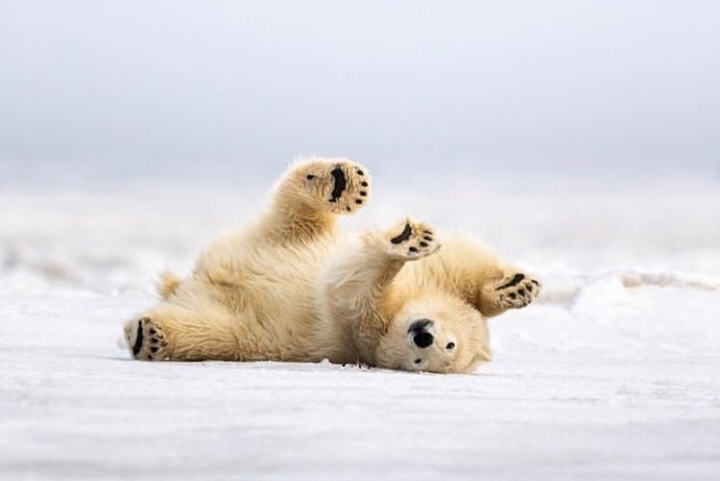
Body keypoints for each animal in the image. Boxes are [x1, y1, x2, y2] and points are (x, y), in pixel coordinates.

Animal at [123, 158, 540, 373]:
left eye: (439, 354)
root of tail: (192, 279)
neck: (409, 303)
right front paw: (515, 287)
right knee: (298, 210)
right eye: (449, 342)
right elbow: (464, 258)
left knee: (206, 331)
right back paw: (340, 183)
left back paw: (149, 335)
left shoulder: (361, 335)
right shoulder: (438, 276)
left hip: (241, 329)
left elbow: (350, 291)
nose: (423, 336)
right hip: (292, 238)